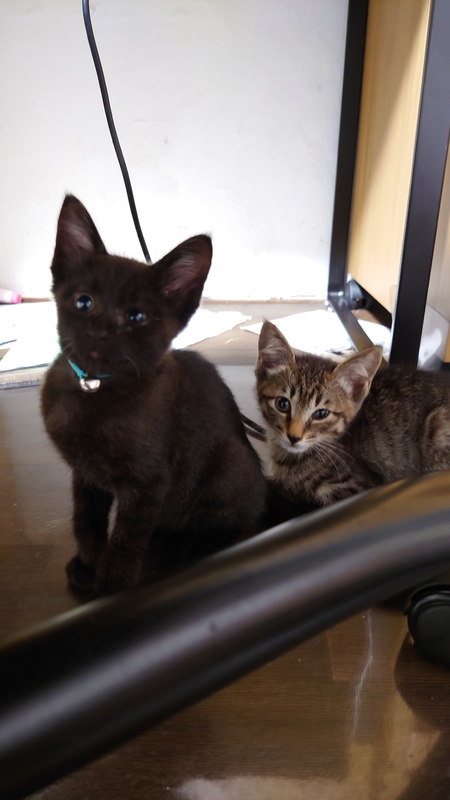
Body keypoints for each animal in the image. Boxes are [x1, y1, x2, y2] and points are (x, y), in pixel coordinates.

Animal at [41, 195, 267, 598]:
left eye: (136, 316)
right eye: (83, 302)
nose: (98, 331)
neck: (94, 388)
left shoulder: (147, 485)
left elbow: (125, 545)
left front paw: (109, 596)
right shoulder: (85, 474)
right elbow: (86, 522)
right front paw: (88, 566)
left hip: (229, 468)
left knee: (235, 520)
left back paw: (191, 550)